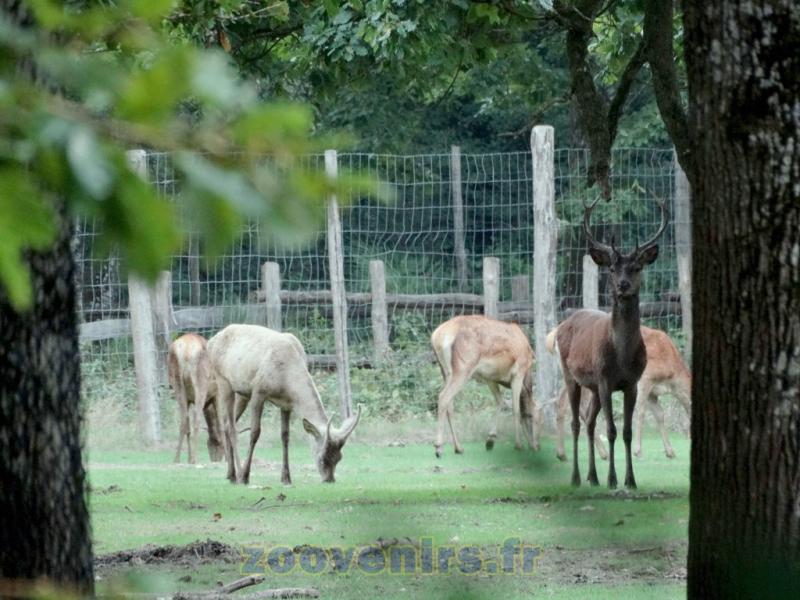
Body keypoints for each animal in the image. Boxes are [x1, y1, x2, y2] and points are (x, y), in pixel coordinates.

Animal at [167, 333, 225, 464]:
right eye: (216, 443)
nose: (216, 459)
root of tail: (186, 350)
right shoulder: (218, 393)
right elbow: (222, 425)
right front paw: (228, 459)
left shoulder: (190, 399)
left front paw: (187, 458)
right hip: (201, 382)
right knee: (196, 418)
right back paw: (194, 459)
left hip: (177, 385)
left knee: (184, 420)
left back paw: (177, 459)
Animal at [207, 324, 361, 485]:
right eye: (322, 457)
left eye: (339, 458)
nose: (329, 479)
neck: (287, 378)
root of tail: (211, 341)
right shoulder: (258, 390)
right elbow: (255, 432)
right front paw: (245, 476)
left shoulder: (286, 404)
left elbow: (285, 436)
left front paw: (286, 478)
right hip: (223, 380)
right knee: (231, 427)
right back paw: (238, 474)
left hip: (242, 392)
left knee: (226, 424)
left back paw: (229, 473)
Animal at [430, 315, 539, 458]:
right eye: (536, 418)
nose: (537, 446)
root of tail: (437, 336)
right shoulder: (518, 373)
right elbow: (516, 410)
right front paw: (518, 445)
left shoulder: (490, 379)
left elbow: (500, 402)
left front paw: (490, 440)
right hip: (463, 368)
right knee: (443, 397)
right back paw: (438, 447)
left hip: (445, 371)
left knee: (450, 404)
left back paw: (458, 448)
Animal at [550, 325, 691, 461]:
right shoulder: (646, 379)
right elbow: (640, 413)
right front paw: (638, 452)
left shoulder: (653, 393)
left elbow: (660, 415)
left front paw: (670, 452)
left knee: (563, 401)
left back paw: (568, 454)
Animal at [553, 195, 667, 489]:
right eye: (613, 268)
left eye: (636, 267)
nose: (623, 285)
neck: (622, 357)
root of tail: (564, 324)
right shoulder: (605, 379)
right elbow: (612, 430)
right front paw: (614, 479)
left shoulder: (632, 383)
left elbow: (626, 431)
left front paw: (630, 480)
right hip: (570, 374)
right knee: (577, 423)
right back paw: (577, 477)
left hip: (593, 387)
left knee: (589, 421)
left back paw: (593, 477)